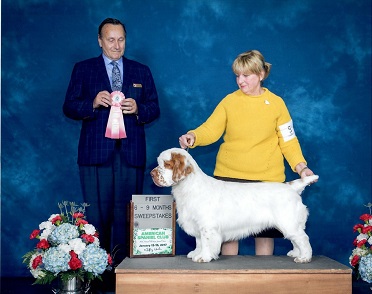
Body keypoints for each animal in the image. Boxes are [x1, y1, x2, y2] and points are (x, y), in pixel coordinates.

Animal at [150, 148, 318, 262]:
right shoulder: (196, 224)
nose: (151, 174)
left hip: (288, 222)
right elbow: (199, 242)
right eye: (159, 163)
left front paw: (204, 257)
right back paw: (296, 253)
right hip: (290, 224)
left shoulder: (207, 226)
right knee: (296, 239)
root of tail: (291, 187)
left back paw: (304, 257)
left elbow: (206, 243)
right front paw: (196, 254)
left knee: (303, 239)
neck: (188, 187)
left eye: (167, 164)